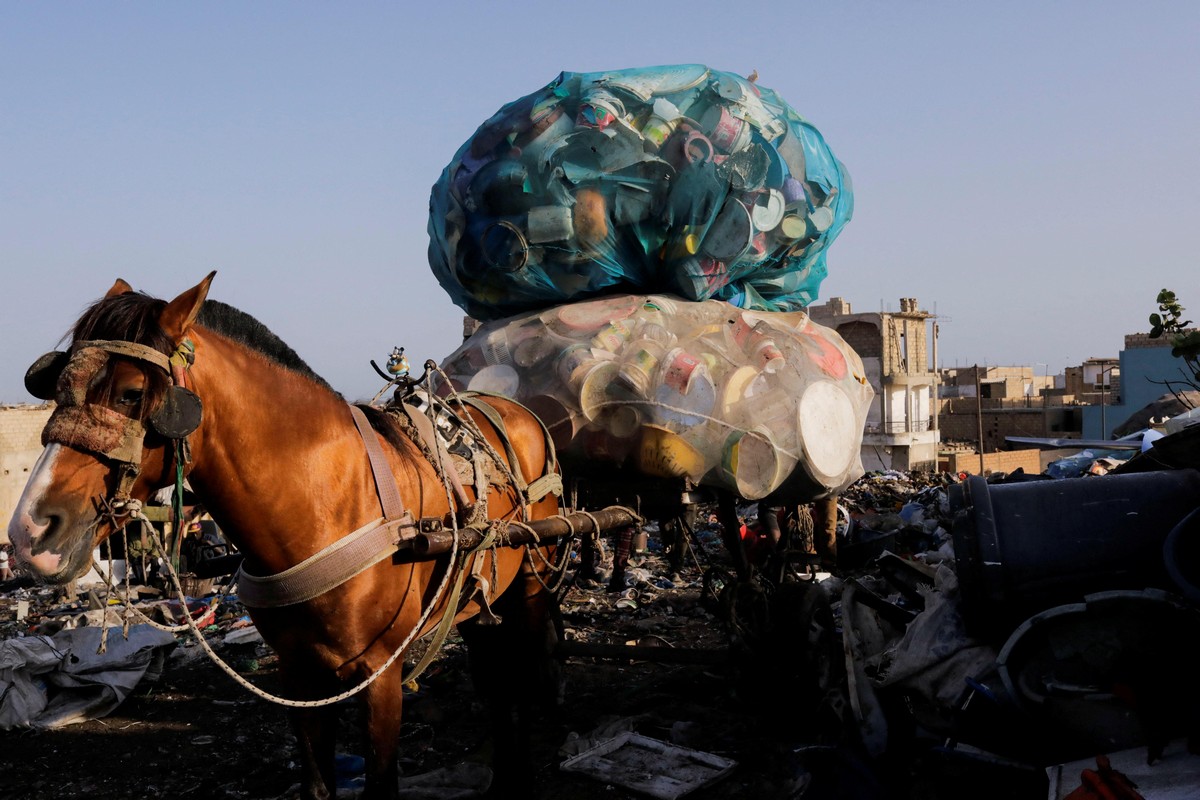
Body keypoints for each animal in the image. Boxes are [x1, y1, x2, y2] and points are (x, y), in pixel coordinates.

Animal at [5, 272, 566, 796]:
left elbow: (382, 782)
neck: (323, 501)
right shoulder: (298, 675)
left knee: (525, 676)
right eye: (55, 387)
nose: (30, 532)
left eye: (133, 393)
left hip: (530, 583)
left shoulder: (381, 675)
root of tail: (514, 411)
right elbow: (317, 783)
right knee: (496, 679)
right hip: (473, 597)